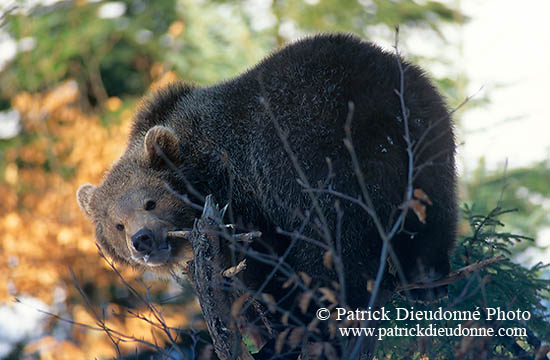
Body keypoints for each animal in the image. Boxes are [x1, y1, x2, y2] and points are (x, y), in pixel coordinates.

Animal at [75, 33, 460, 358]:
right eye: (117, 224)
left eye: (150, 201)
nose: (142, 239)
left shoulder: (244, 198)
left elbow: (263, 270)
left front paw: (276, 332)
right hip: (425, 137)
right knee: (432, 212)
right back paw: (427, 278)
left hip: (309, 154)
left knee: (329, 244)